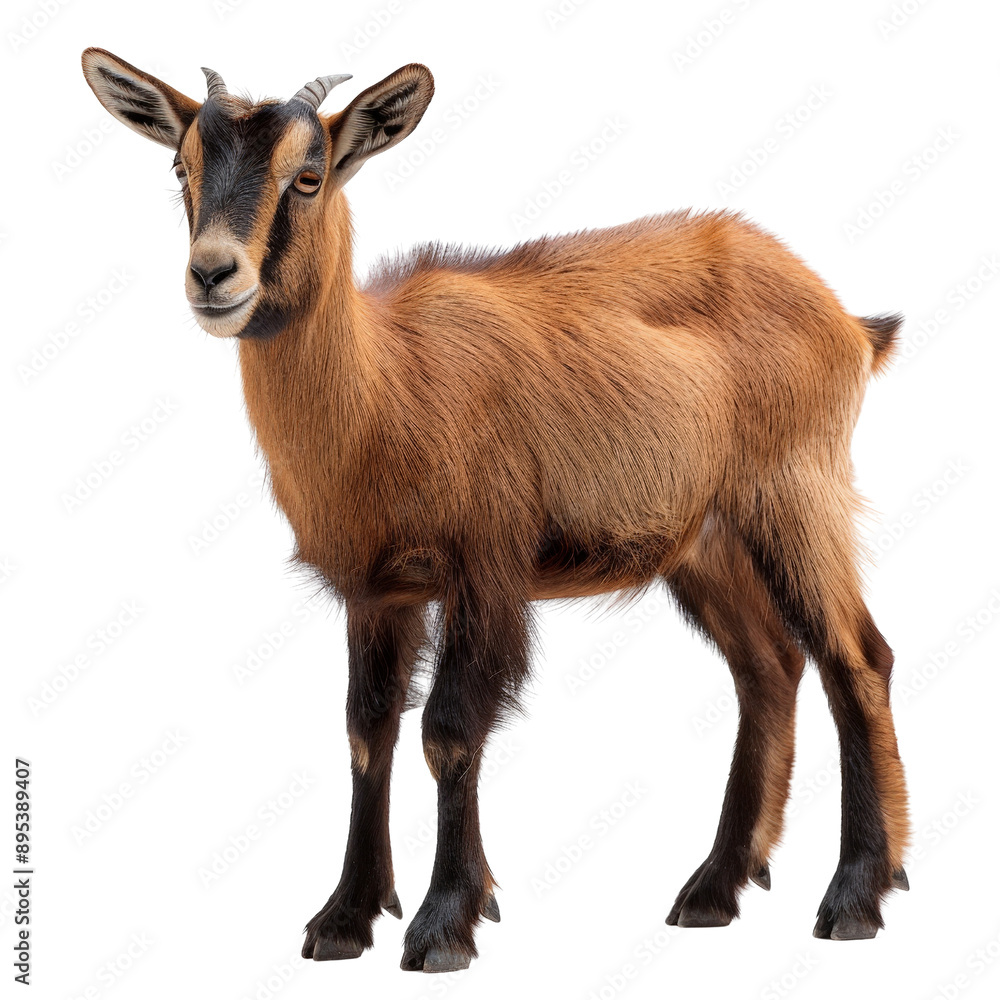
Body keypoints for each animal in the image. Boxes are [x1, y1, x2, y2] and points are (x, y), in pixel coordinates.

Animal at [82, 48, 910, 970]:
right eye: (180, 167)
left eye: (309, 175)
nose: (214, 274)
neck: (388, 387)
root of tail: (846, 320)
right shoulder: (379, 590)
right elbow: (368, 733)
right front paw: (345, 917)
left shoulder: (485, 568)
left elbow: (449, 730)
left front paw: (444, 924)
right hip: (704, 542)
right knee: (768, 666)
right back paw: (713, 889)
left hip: (795, 494)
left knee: (856, 660)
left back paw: (856, 898)